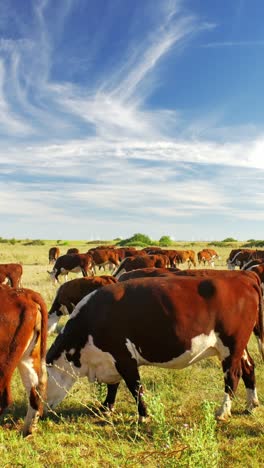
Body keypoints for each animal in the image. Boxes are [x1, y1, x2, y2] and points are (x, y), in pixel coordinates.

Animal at [0, 288, 47, 436]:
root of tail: (26, 293)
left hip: (5, 360)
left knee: (4, 397)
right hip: (28, 356)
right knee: (35, 388)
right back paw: (29, 429)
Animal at [46, 274, 264, 424]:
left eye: (46, 375)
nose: (42, 406)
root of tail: (243, 277)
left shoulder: (124, 357)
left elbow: (135, 387)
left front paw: (143, 416)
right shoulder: (110, 361)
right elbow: (113, 385)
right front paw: (106, 408)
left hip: (231, 347)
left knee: (232, 376)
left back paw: (223, 412)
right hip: (240, 347)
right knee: (249, 368)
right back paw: (251, 404)